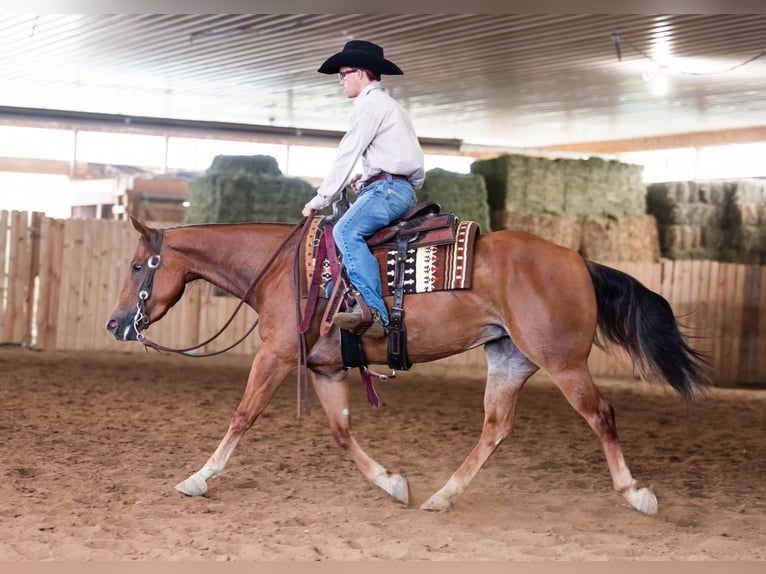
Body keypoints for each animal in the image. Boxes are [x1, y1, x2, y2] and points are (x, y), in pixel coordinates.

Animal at [105, 216, 712, 516]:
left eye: (137, 265)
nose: (115, 324)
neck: (282, 271)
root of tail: (579, 260)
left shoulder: (275, 355)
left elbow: (242, 415)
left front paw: (197, 478)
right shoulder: (325, 369)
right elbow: (342, 432)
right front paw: (393, 484)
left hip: (563, 363)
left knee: (602, 415)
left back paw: (636, 495)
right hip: (509, 359)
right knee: (497, 427)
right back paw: (443, 496)